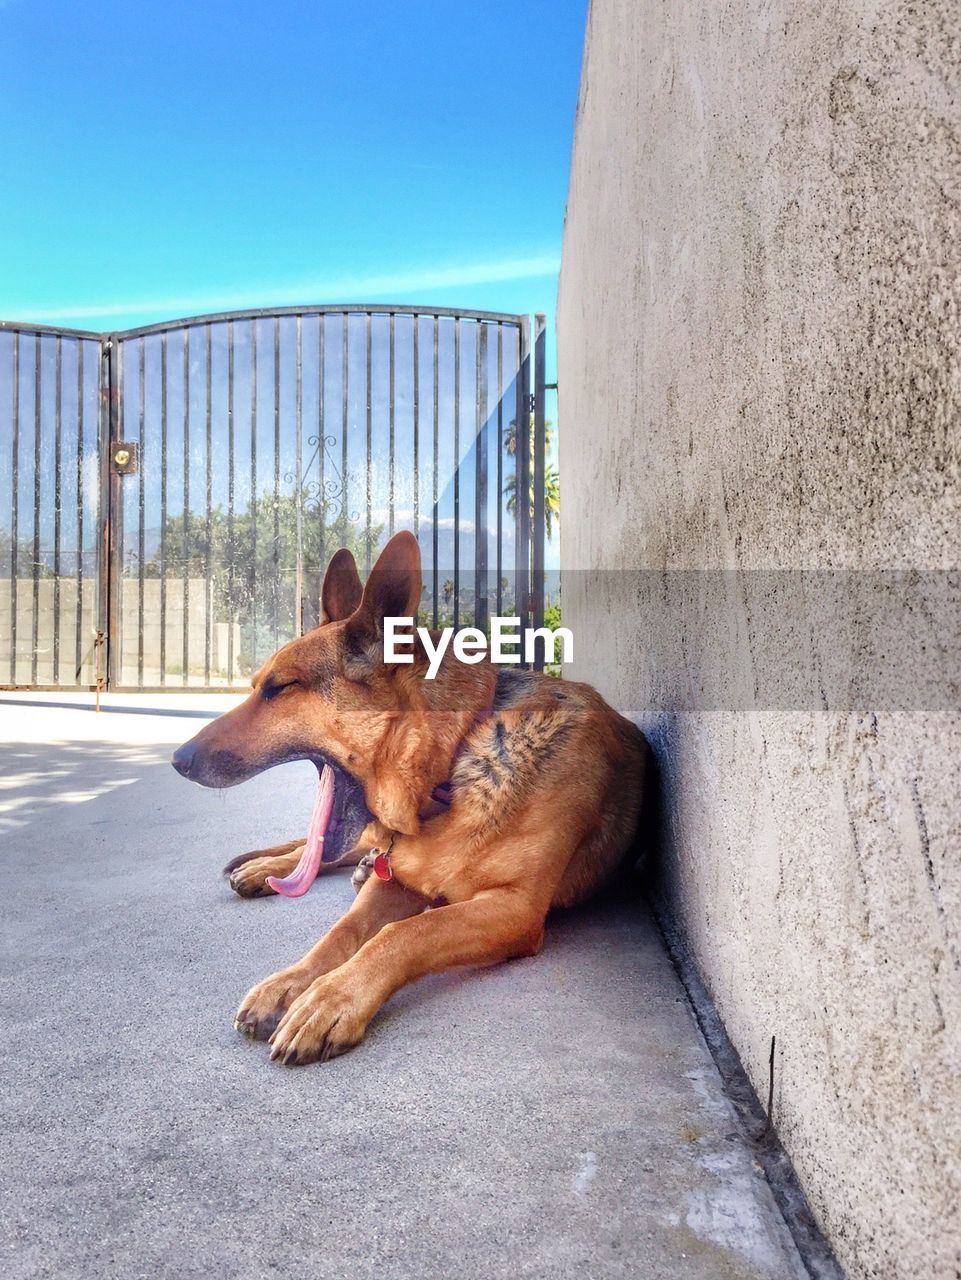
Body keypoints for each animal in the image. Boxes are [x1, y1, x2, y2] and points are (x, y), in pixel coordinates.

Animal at [174, 535, 655, 1064]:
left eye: (280, 688)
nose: (178, 759)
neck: (454, 764)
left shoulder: (514, 910)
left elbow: (405, 933)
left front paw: (331, 998)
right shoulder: (399, 882)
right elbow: (343, 932)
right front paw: (291, 982)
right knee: (326, 853)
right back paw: (267, 869)